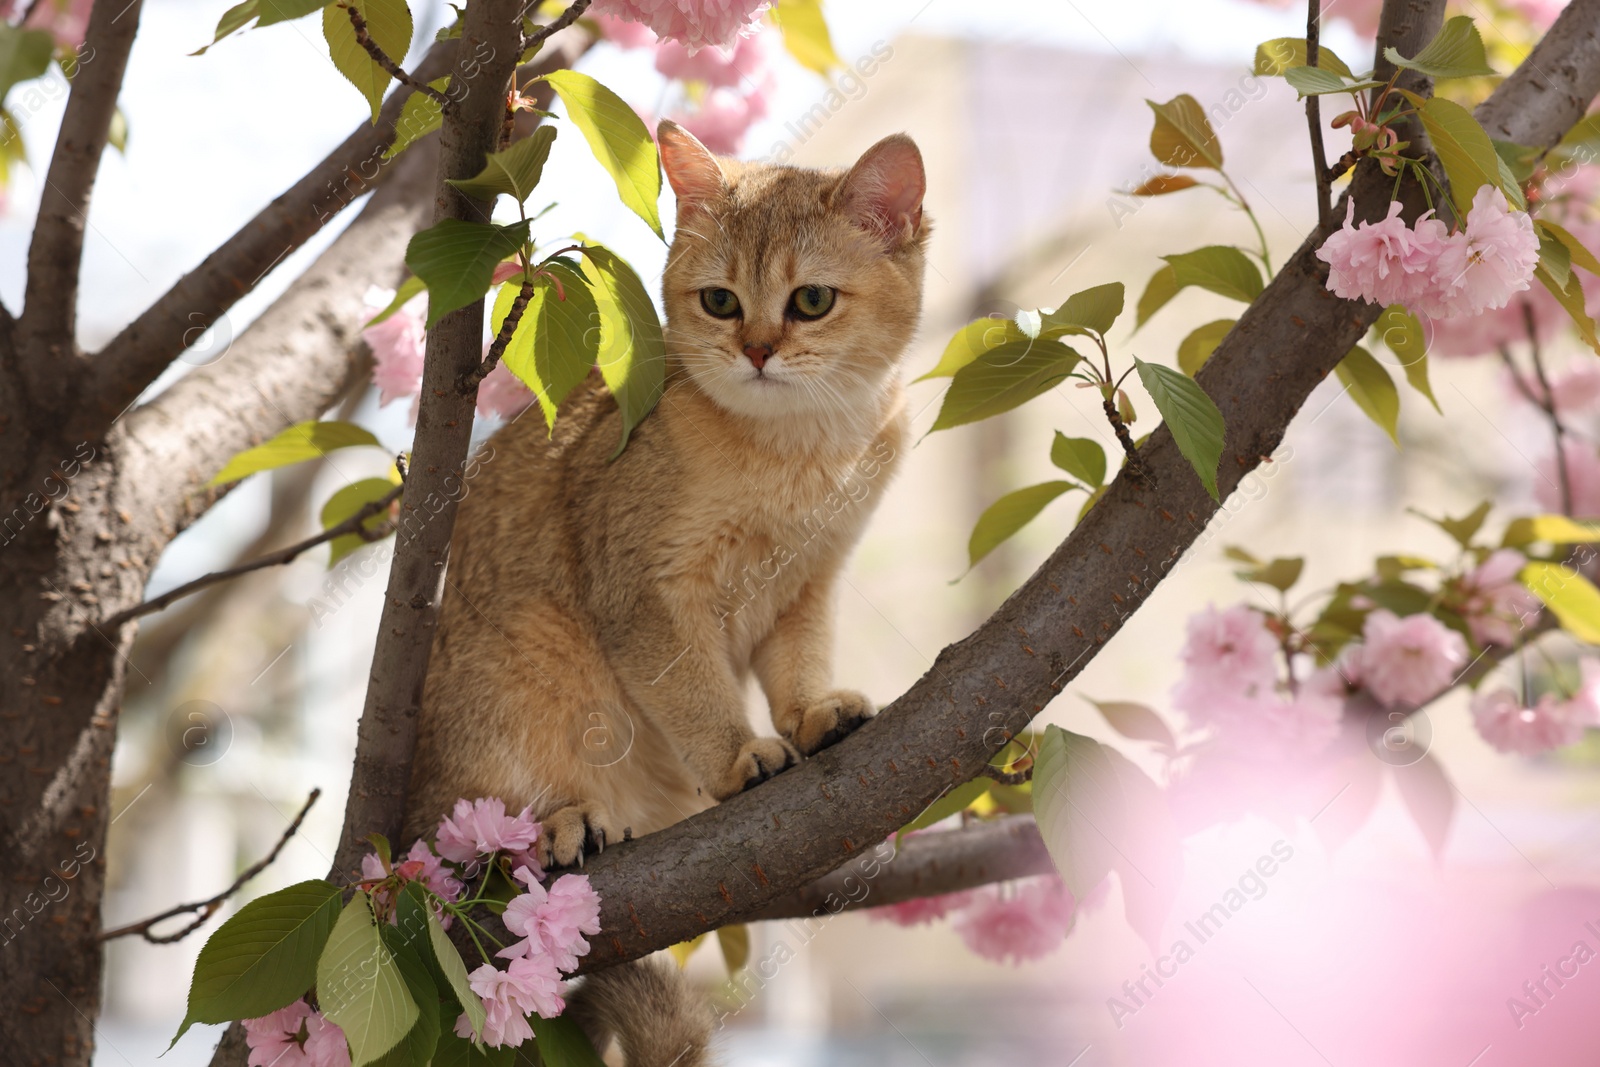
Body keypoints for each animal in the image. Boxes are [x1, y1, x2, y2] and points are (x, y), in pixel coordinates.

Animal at [400, 119, 934, 1067]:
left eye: (811, 301)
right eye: (720, 302)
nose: (756, 348)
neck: (802, 451)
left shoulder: (809, 583)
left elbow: (797, 664)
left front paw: (810, 715)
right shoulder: (642, 592)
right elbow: (693, 690)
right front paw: (740, 753)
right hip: (516, 669)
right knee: (473, 834)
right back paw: (561, 823)